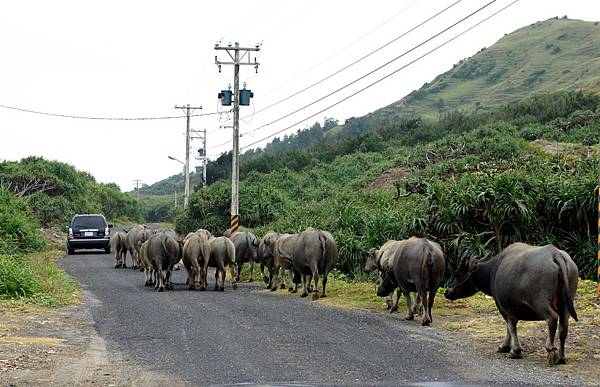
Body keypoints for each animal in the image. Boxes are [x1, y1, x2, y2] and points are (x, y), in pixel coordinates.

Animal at [446, 242, 576, 366]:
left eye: (458, 274)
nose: (447, 292)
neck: (492, 270)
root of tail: (554, 253)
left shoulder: (502, 306)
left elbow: (511, 326)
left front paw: (513, 351)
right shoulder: (513, 306)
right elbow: (511, 326)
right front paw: (506, 347)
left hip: (540, 302)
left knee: (552, 318)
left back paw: (550, 351)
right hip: (566, 304)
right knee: (563, 326)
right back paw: (561, 357)